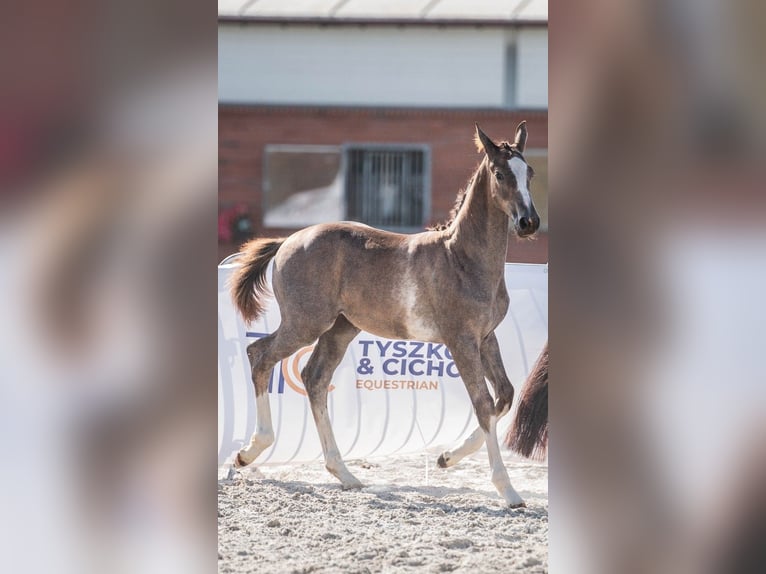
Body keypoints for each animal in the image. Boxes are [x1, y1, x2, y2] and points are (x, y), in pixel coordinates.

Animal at [229, 122, 540, 507]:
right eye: (499, 173)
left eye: (529, 173)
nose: (529, 222)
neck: (463, 259)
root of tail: (286, 241)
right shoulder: (461, 340)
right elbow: (483, 403)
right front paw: (508, 490)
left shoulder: (485, 337)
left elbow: (505, 395)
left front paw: (446, 457)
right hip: (305, 323)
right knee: (259, 355)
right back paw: (249, 452)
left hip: (339, 330)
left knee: (314, 378)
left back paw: (344, 474)